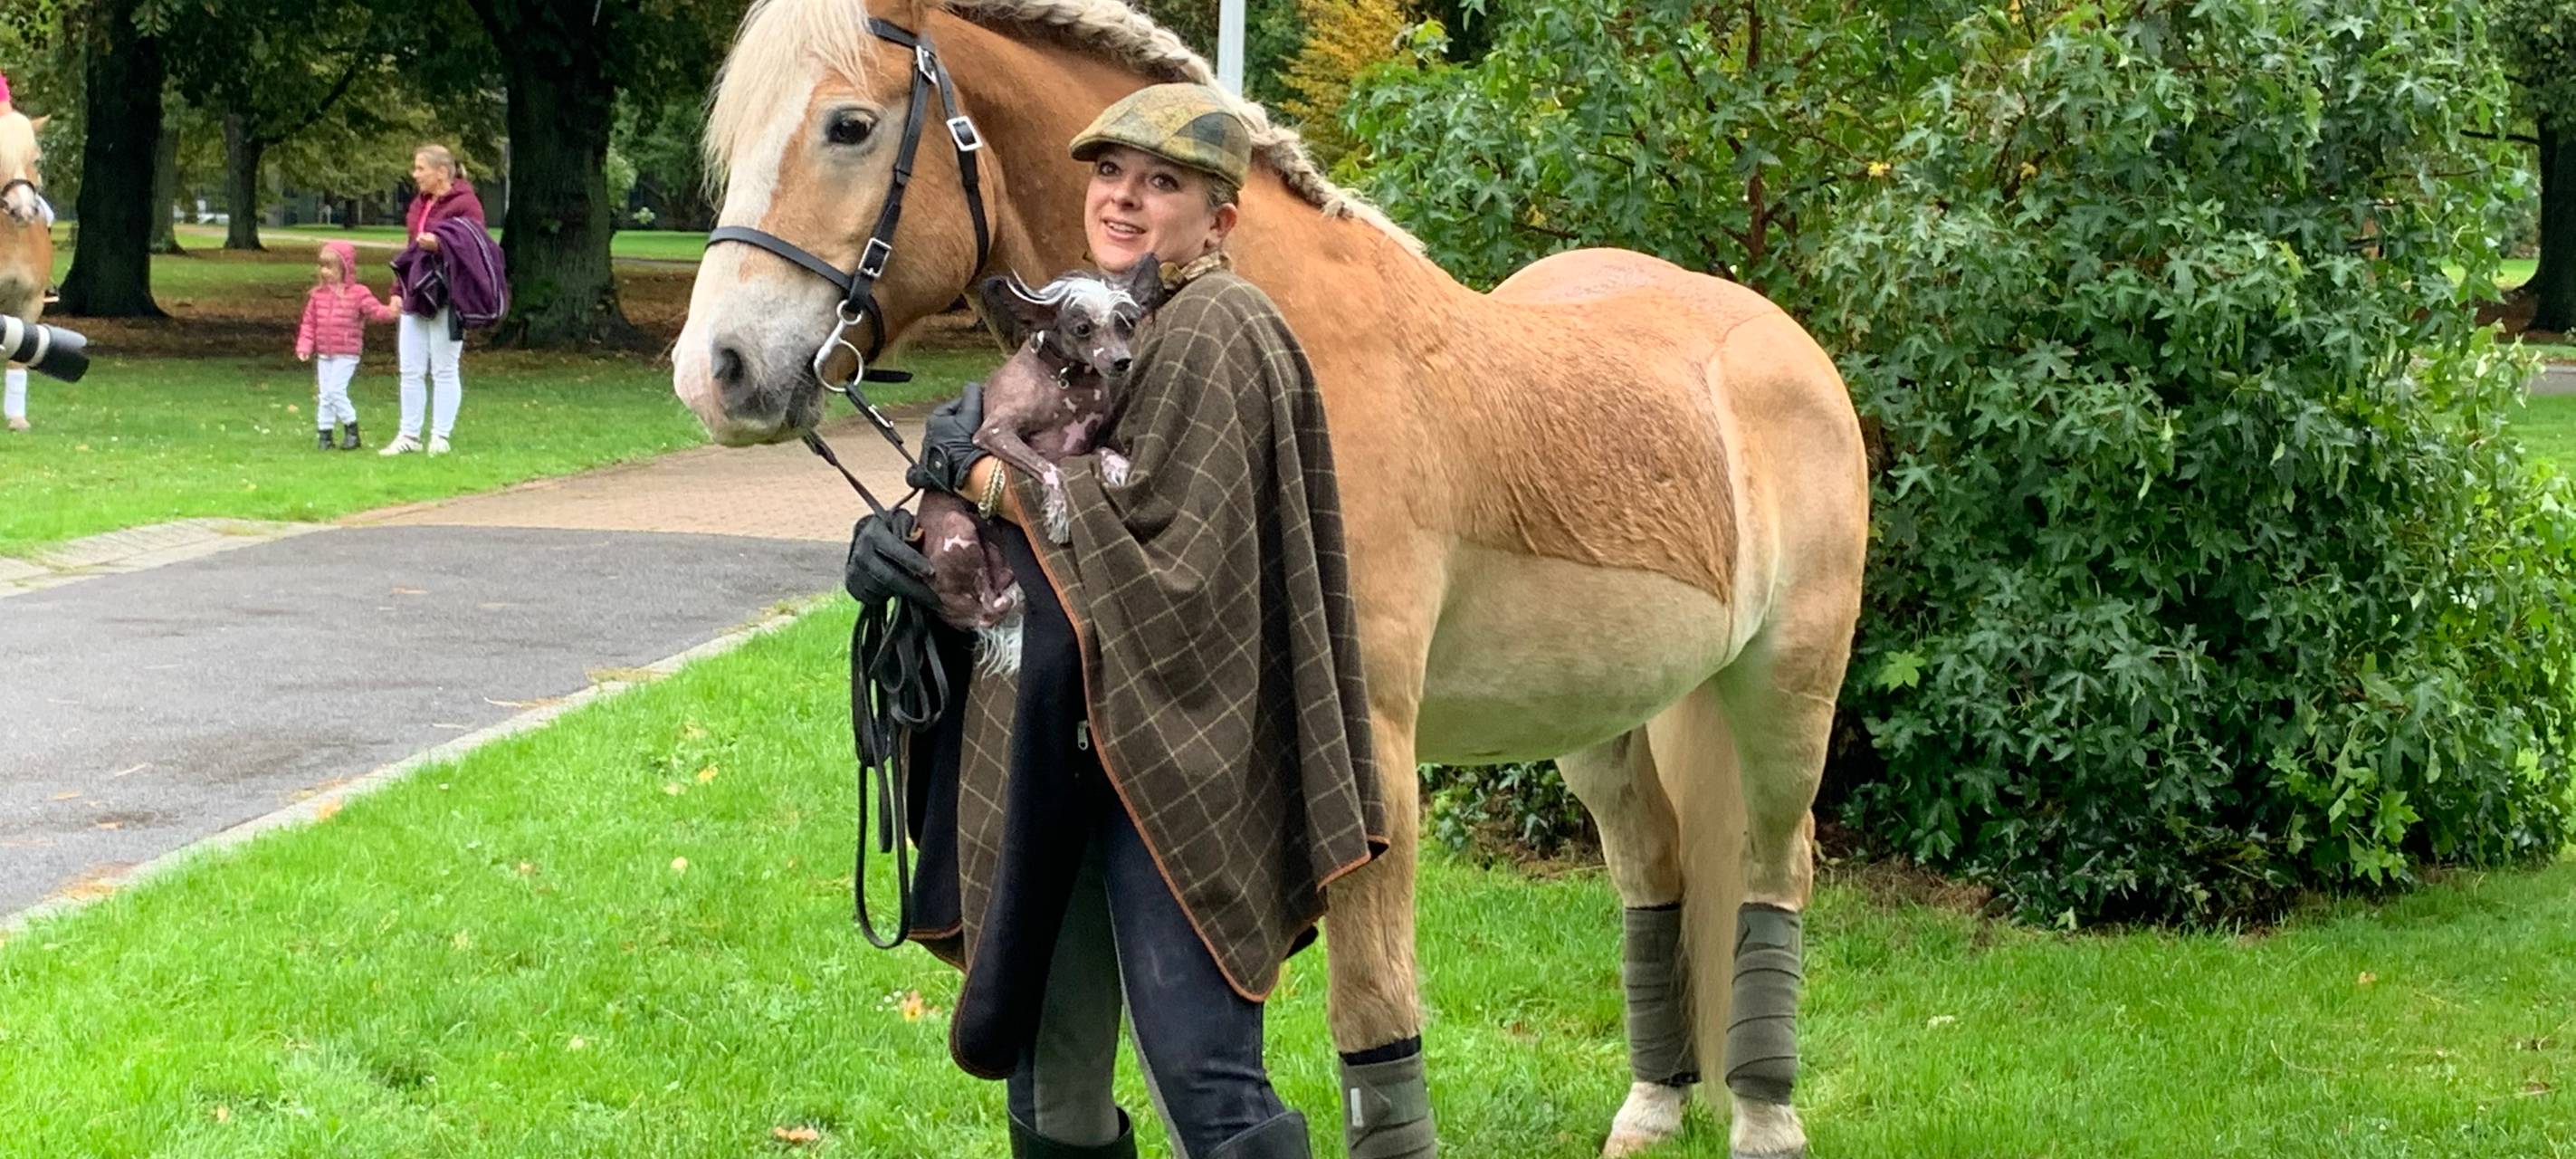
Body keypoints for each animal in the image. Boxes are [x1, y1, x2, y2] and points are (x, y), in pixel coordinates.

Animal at [673, 3, 1867, 1156]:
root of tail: (1781, 340)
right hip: (1600, 720)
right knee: (1655, 871)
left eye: (848, 126)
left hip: (1784, 697)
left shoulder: (1366, 748)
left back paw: (1764, 1117)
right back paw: (1653, 1107)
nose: (712, 372)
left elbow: (1372, 1018)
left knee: (1774, 866)